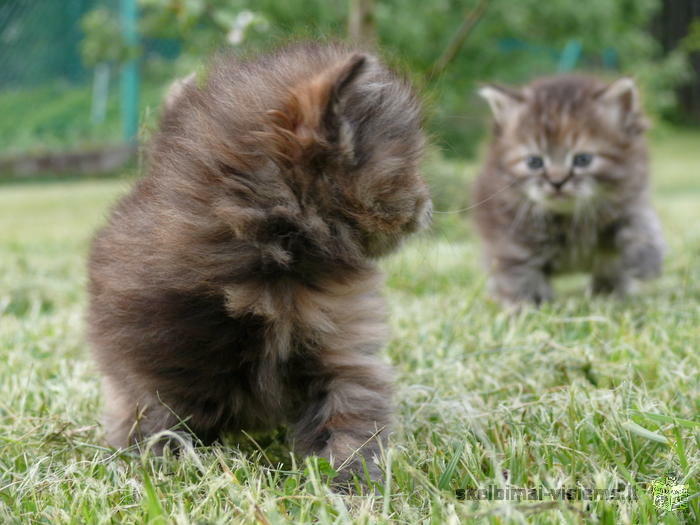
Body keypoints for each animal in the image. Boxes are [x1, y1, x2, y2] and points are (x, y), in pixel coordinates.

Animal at [85, 45, 430, 484]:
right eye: (406, 167)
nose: (427, 201)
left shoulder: (341, 350)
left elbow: (349, 418)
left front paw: (347, 481)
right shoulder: (156, 353)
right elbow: (164, 417)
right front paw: (165, 467)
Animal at [474, 72, 664, 302]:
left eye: (582, 159)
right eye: (534, 162)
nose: (557, 182)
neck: (570, 221)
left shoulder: (630, 197)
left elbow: (640, 219)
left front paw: (647, 257)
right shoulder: (508, 238)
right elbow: (520, 277)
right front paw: (532, 306)